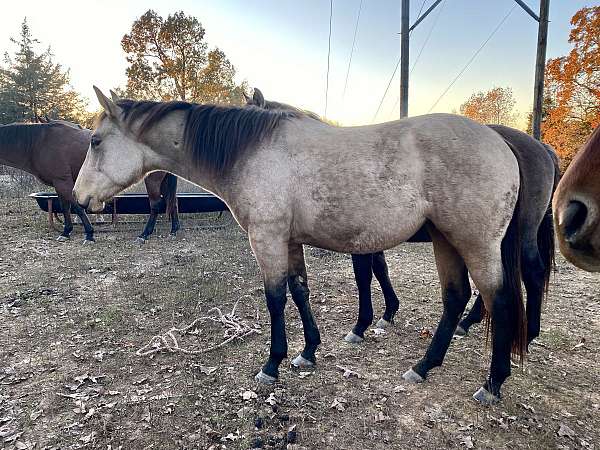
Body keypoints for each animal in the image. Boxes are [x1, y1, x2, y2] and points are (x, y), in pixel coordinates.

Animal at [0, 120, 178, 243]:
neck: (39, 143)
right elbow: (65, 207)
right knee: (172, 201)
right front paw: (66, 232)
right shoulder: (60, 184)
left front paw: (89, 234)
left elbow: (77, 206)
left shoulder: (63, 182)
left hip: (153, 179)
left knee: (156, 204)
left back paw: (144, 235)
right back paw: (174, 230)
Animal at [74, 86, 524, 402]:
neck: (253, 152)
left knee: (497, 298)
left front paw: (272, 364)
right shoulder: (288, 242)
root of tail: (501, 142)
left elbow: (275, 298)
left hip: (475, 243)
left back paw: (493, 383)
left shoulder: (267, 239)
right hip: (445, 240)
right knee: (456, 297)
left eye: (95, 141)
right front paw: (307, 352)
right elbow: (299, 290)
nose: (79, 198)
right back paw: (425, 366)